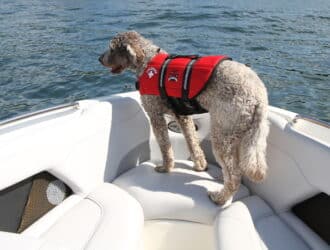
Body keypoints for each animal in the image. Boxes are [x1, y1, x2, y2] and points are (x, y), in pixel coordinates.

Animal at [99, 30, 270, 205]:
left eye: (111, 49)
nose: (99, 58)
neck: (147, 61)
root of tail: (258, 96)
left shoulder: (155, 115)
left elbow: (165, 147)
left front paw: (166, 168)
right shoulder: (182, 115)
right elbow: (192, 142)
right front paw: (200, 166)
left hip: (223, 134)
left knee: (234, 176)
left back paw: (219, 198)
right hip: (247, 134)